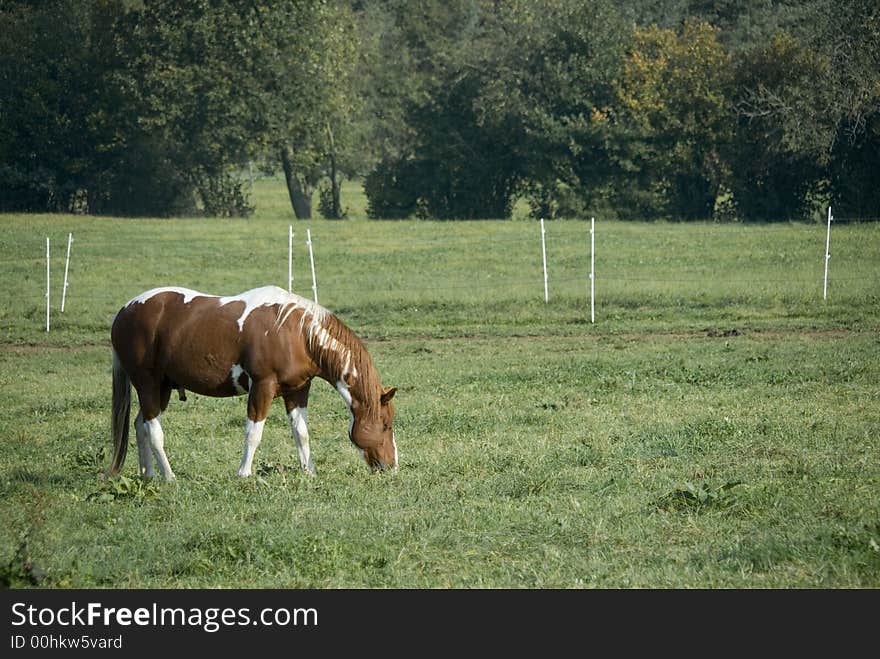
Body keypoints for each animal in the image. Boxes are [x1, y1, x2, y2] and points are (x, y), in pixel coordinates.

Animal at [107, 286, 398, 482]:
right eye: (386, 425)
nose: (392, 465)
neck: (298, 333)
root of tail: (124, 310)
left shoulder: (297, 391)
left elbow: (301, 433)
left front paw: (309, 471)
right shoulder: (262, 388)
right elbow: (253, 434)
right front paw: (244, 473)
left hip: (162, 388)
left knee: (141, 425)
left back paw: (149, 475)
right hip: (147, 384)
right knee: (154, 431)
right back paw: (169, 476)